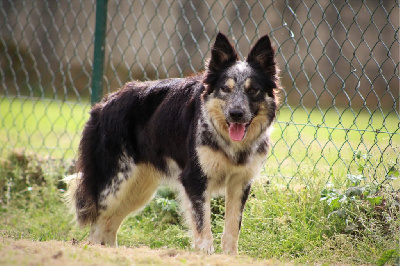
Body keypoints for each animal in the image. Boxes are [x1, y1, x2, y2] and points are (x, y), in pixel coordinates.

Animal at [65, 32, 280, 255]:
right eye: (225, 89)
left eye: (253, 90)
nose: (236, 114)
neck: (228, 141)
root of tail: (104, 103)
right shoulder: (195, 179)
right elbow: (203, 227)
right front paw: (205, 254)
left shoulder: (240, 183)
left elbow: (232, 228)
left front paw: (230, 257)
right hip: (115, 184)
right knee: (98, 221)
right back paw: (94, 249)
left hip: (139, 188)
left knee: (110, 223)